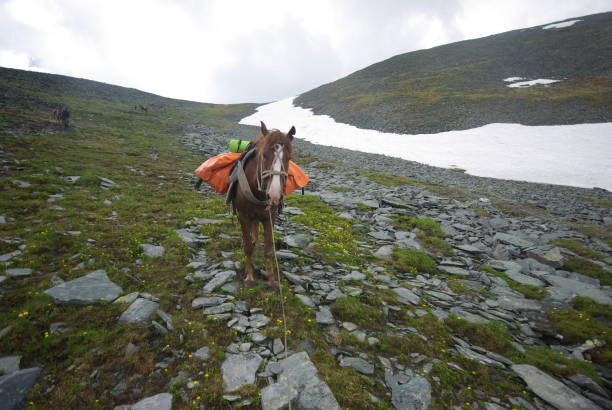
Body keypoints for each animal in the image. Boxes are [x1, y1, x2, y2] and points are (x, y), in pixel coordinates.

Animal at [233, 121, 296, 286]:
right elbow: (247, 247)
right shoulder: (243, 216)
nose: (274, 195)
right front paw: (249, 276)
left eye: (289, 158)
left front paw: (272, 279)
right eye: (264, 155)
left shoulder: (270, 217)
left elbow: (268, 249)